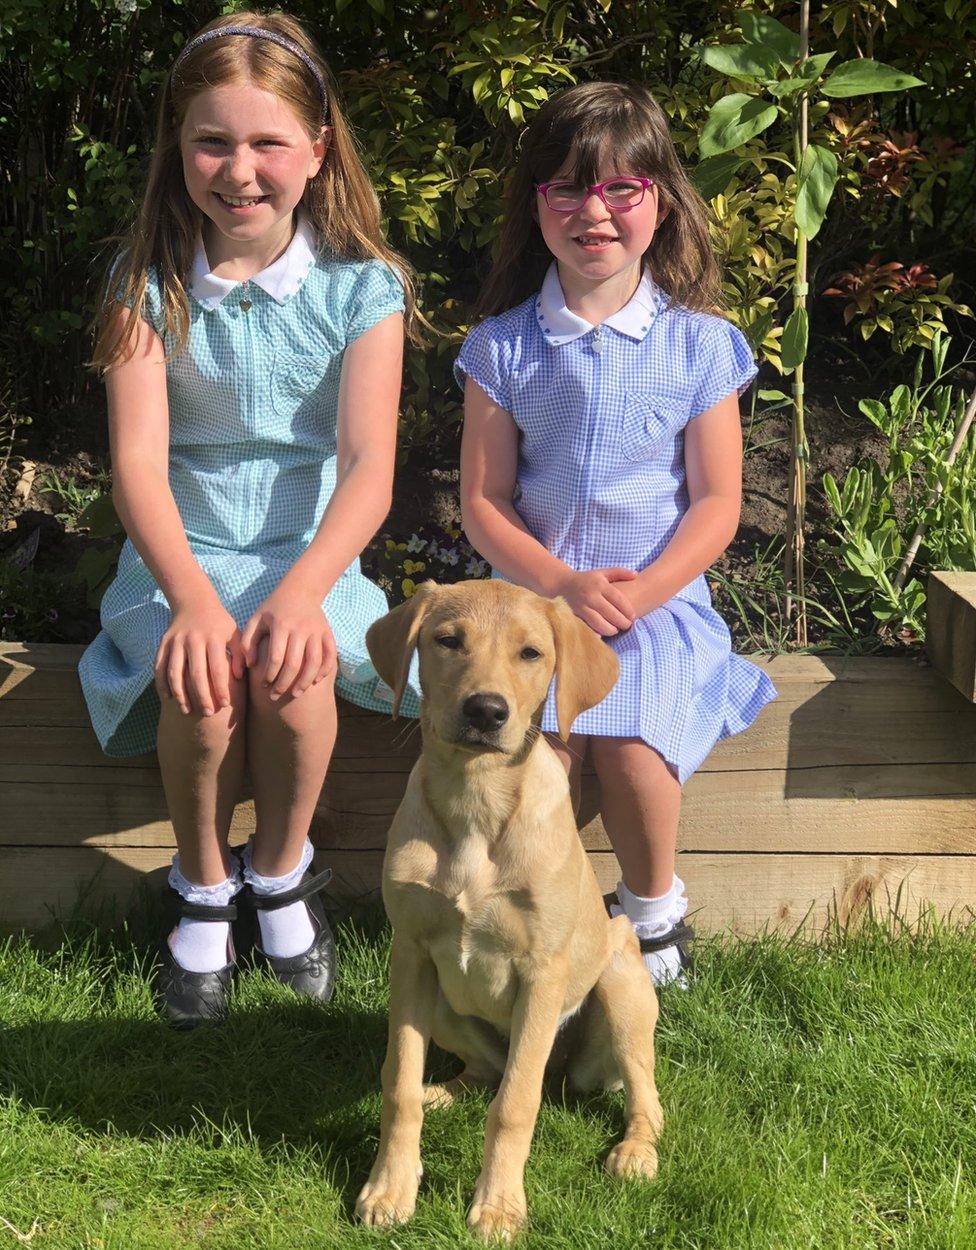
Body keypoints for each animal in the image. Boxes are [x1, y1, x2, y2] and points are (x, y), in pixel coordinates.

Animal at [357, 577, 664, 1240]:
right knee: (484, 1074)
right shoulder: (410, 955)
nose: (485, 711)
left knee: (642, 1095)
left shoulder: (542, 971)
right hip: (443, 1005)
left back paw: (635, 1151)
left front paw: (498, 1206)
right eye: (447, 641)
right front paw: (390, 1187)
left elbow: (516, 1104)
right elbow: (398, 1083)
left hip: (621, 983)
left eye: (531, 654)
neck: (476, 800)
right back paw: (443, 1090)